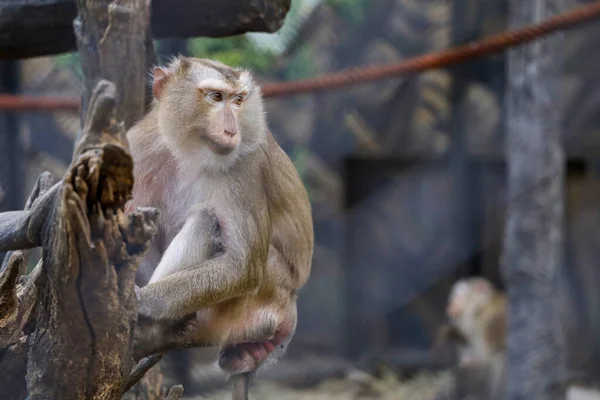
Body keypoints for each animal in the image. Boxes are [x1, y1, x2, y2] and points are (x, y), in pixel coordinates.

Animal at [125, 57, 316, 396]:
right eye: (215, 97)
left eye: (238, 100)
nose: (231, 129)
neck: (188, 150)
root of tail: (290, 302)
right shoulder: (141, 147)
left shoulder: (244, 166)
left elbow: (242, 267)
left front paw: (143, 301)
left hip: (261, 296)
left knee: (207, 221)